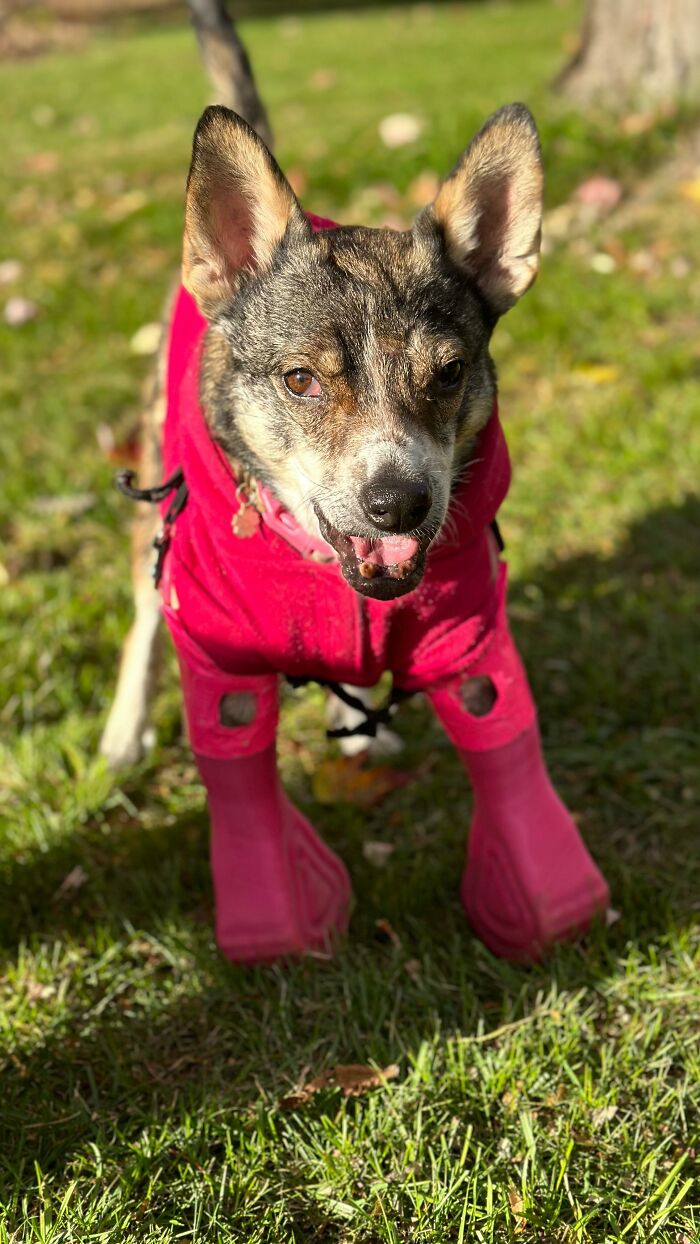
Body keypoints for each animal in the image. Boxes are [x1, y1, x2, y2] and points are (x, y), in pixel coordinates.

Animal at [101, 0, 611, 960]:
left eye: (450, 373)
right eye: (301, 380)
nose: (398, 501)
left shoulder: (470, 630)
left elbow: (498, 731)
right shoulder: (218, 650)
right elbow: (237, 766)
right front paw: (274, 911)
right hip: (155, 488)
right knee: (144, 607)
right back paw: (123, 730)